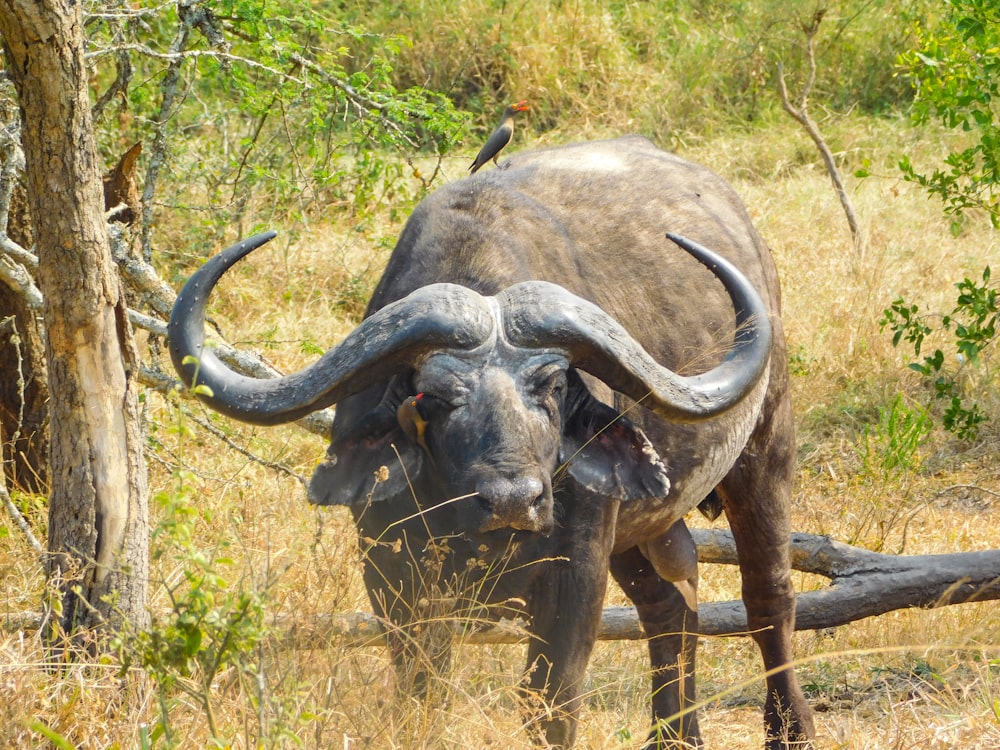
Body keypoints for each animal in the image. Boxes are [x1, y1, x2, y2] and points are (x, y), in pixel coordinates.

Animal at [170, 137, 812, 750]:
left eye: (553, 385)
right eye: (433, 395)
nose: (513, 501)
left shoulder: (577, 570)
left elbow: (548, 702)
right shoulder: (391, 574)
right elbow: (422, 690)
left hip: (764, 449)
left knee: (768, 598)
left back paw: (791, 729)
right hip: (643, 523)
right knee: (672, 603)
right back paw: (676, 735)